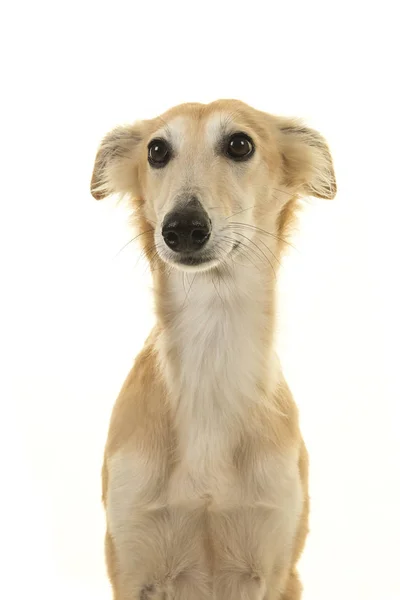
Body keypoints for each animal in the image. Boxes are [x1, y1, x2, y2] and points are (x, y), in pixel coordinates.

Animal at [90, 99, 334, 600]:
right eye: (157, 150)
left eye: (240, 144)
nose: (183, 228)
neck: (212, 349)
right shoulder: (130, 565)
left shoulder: (274, 566)